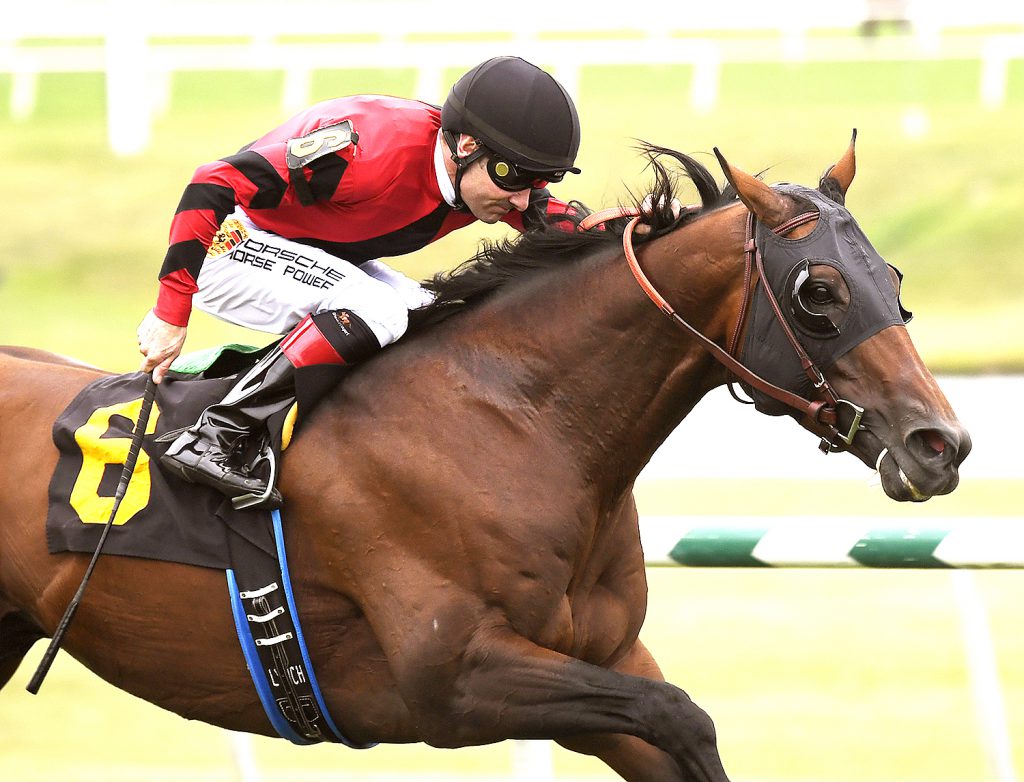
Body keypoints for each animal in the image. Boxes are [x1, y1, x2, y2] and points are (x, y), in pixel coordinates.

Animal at [0, 137, 966, 777]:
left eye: (893, 279)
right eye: (819, 293)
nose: (941, 444)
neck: (518, 420)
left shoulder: (606, 660)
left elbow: (686, 728)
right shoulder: (457, 680)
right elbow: (676, 713)